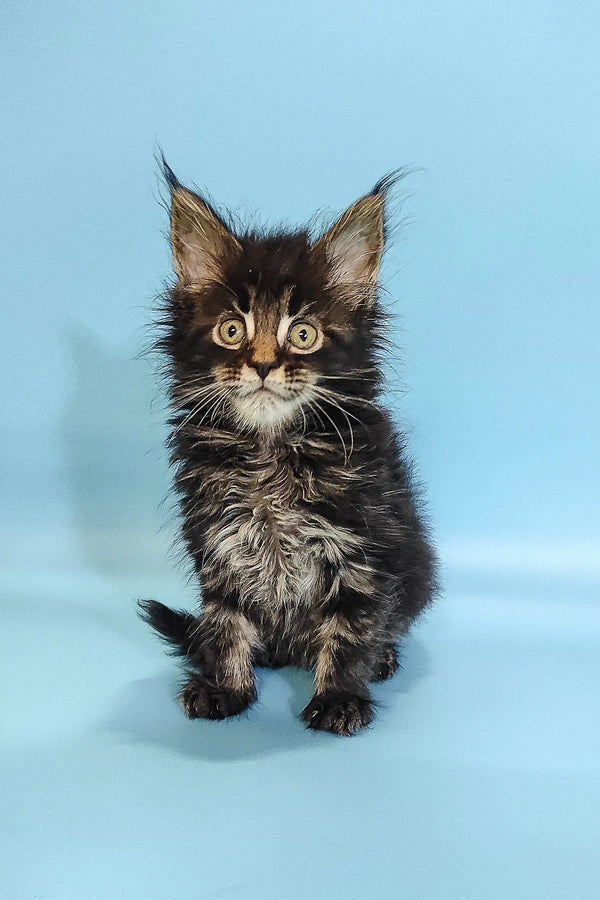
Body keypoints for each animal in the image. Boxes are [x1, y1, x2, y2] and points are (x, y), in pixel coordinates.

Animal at [142, 162, 438, 736]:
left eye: (302, 334)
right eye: (232, 329)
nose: (261, 365)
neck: (269, 449)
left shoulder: (363, 544)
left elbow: (352, 628)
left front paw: (339, 697)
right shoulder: (220, 540)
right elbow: (226, 621)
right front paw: (226, 687)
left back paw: (382, 658)